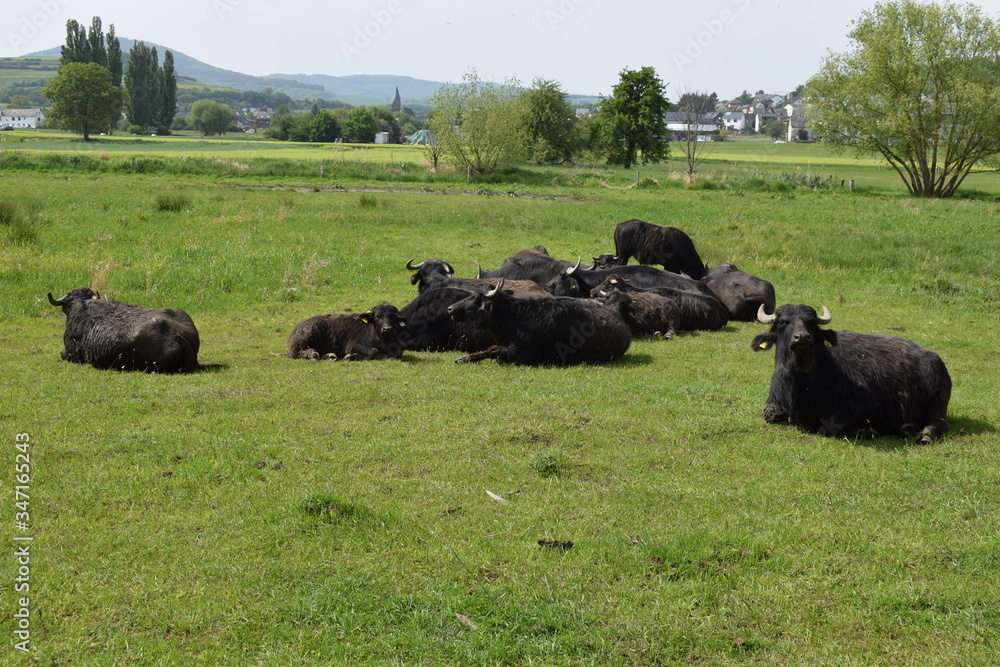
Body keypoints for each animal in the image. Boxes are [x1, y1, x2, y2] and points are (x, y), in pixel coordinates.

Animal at [752, 306, 952, 444]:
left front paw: (866, 431)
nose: (802, 337)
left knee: (938, 423)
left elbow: (827, 427)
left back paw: (923, 435)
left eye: (811, 322)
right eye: (783, 322)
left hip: (938, 402)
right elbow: (770, 414)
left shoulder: (858, 407)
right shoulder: (773, 406)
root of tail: (931, 357)